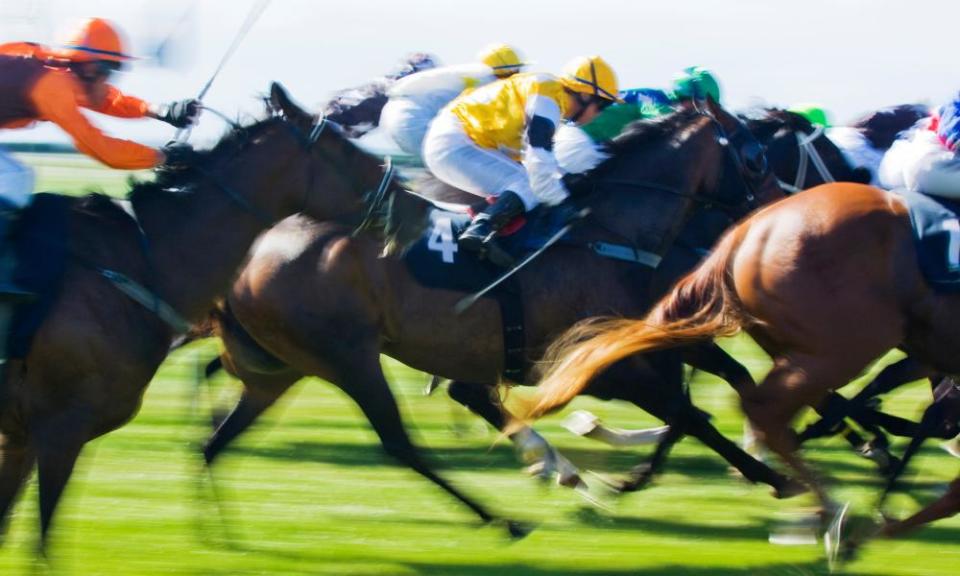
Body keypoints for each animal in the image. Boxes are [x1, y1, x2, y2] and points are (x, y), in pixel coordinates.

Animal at [201, 95, 808, 500]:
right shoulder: (614, 368)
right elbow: (692, 414)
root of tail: (256, 247)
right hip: (346, 354)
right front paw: (775, 477)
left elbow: (702, 403)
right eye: (755, 156)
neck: (603, 233)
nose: (781, 213)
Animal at [524, 183, 960, 540]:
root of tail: (745, 233)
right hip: (842, 345)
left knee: (762, 405)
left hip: (806, 347)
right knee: (761, 408)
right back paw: (830, 510)